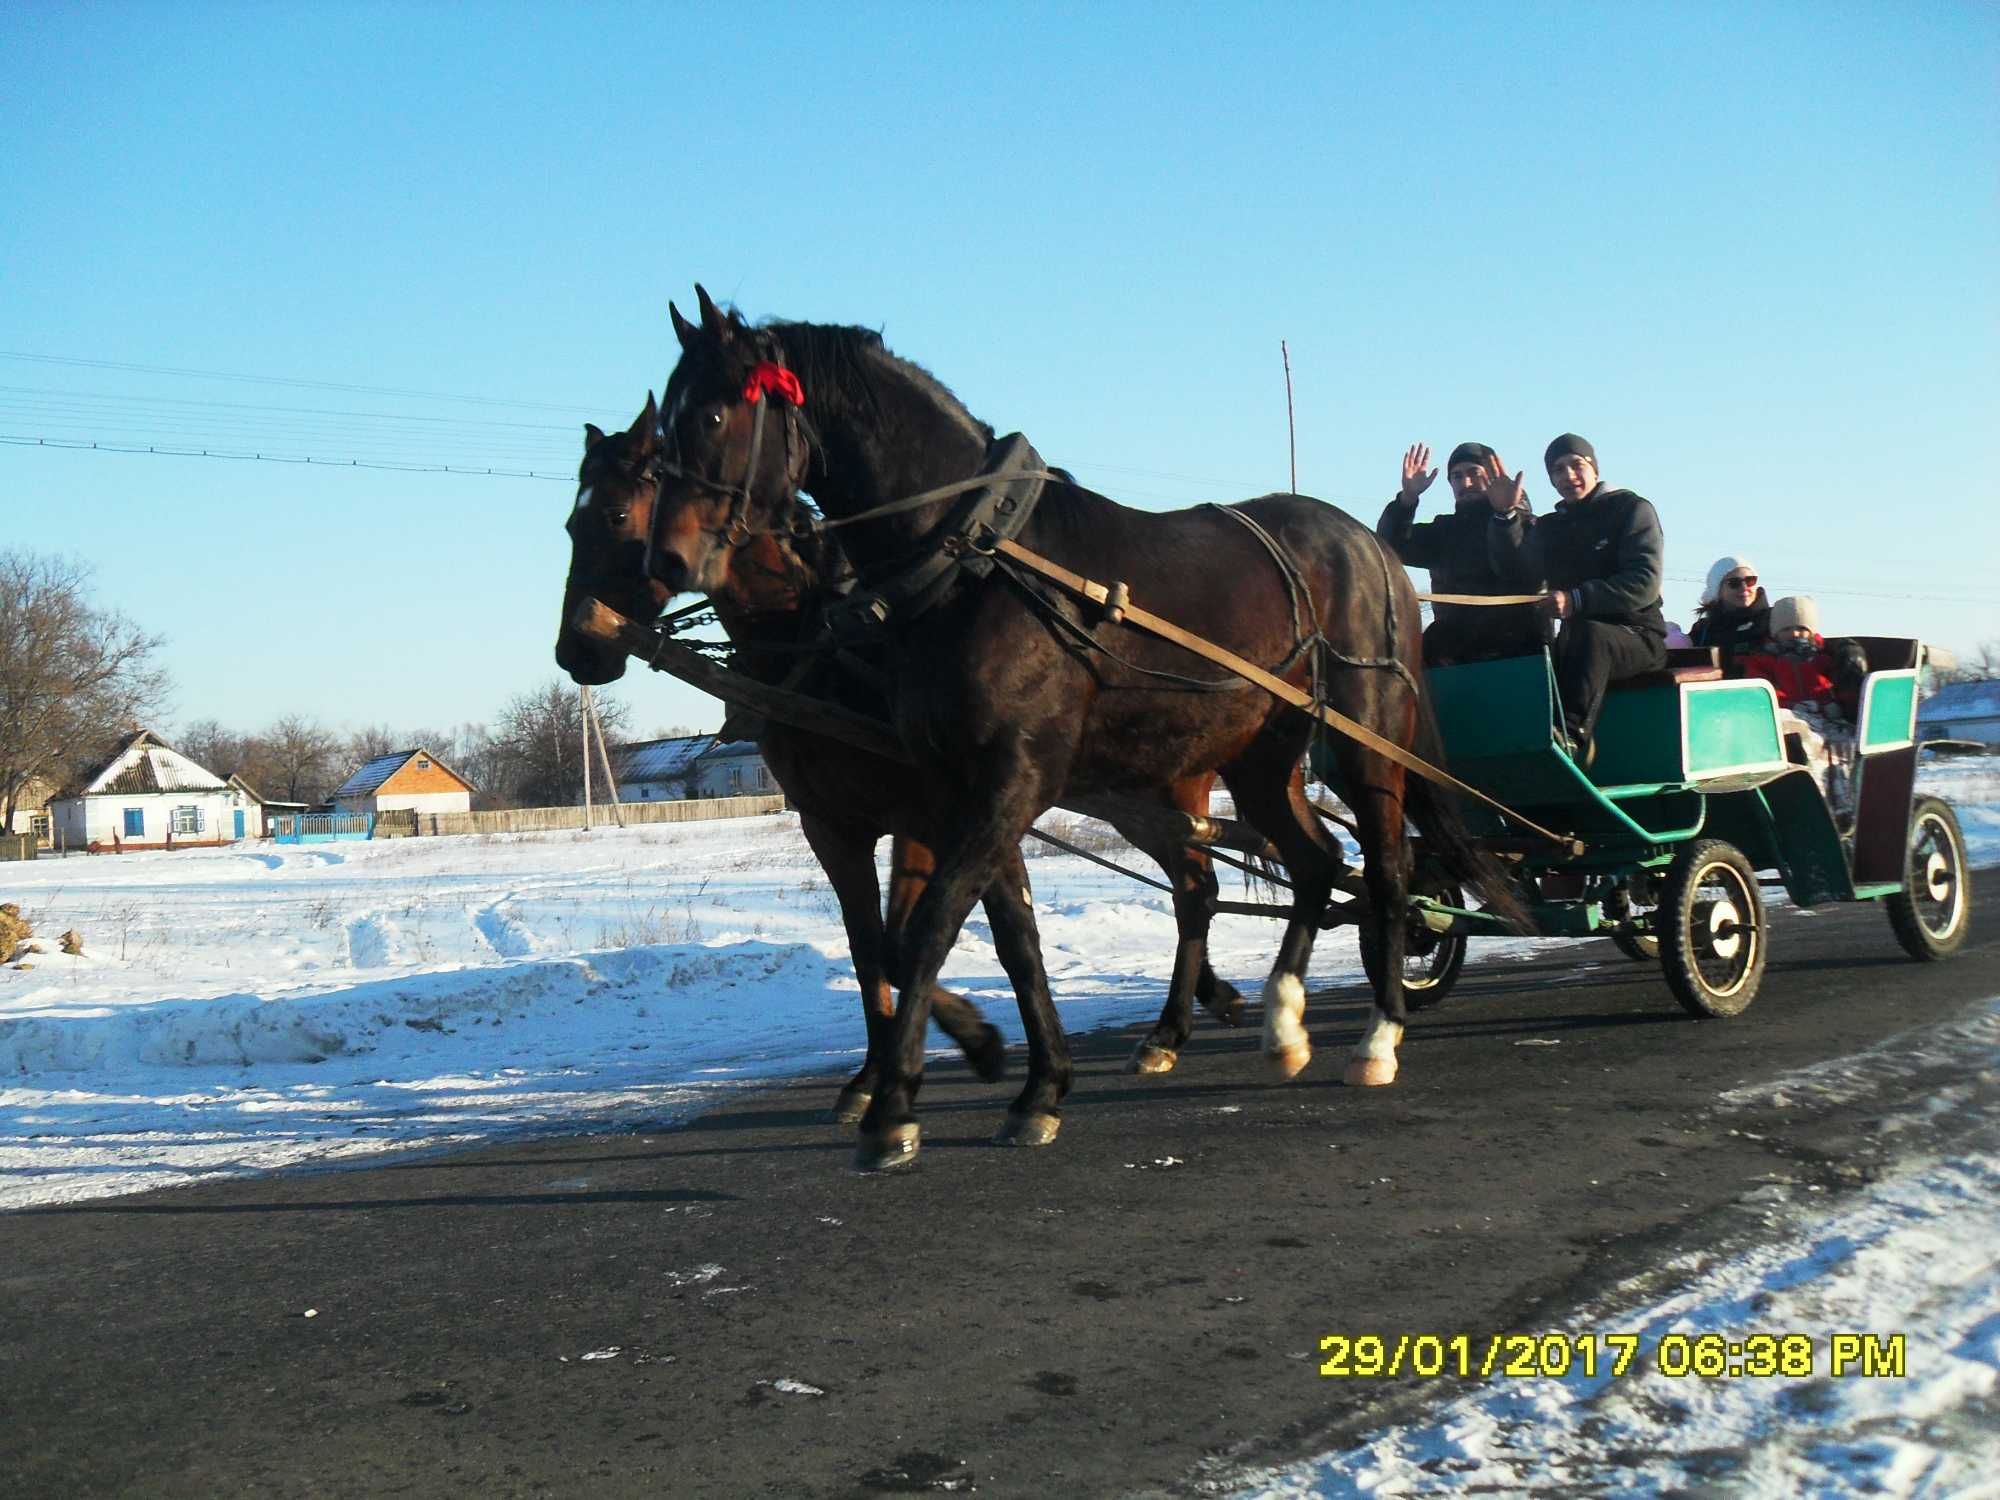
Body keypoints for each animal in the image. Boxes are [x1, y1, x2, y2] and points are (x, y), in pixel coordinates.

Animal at [556, 396, 1248, 1128]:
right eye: (572, 520)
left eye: (615, 515)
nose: (575, 650)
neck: (831, 648)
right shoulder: (832, 826)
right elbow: (871, 946)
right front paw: (876, 1076)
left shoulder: (925, 816)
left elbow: (908, 938)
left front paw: (974, 1044)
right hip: (1138, 800)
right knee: (1194, 885)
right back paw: (1204, 1003)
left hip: (1175, 785)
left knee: (1197, 887)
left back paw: (1176, 1022)